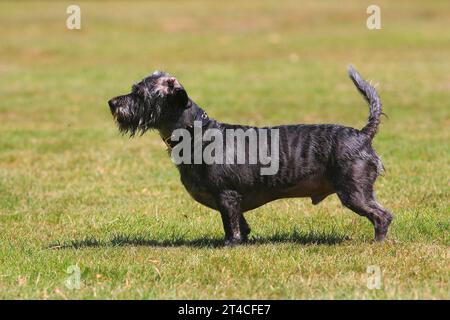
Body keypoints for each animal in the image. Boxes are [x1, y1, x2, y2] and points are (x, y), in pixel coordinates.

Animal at [108, 65, 390, 245]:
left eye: (140, 93)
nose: (111, 103)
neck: (198, 133)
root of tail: (363, 134)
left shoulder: (227, 195)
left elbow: (231, 228)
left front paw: (230, 246)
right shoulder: (234, 201)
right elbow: (241, 226)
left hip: (354, 192)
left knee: (383, 217)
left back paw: (377, 243)